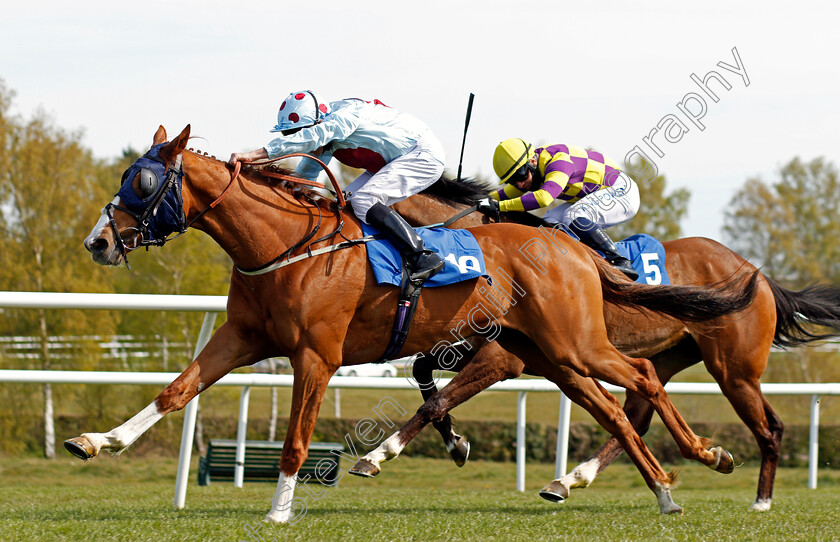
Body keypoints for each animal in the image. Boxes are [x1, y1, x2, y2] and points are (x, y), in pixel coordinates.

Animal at [69, 126, 756, 524]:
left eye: (145, 181)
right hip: (552, 356)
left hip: (577, 343)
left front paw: (280, 512)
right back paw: (658, 488)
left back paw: (706, 458)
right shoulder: (241, 337)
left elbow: (297, 439)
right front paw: (100, 441)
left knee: (642, 376)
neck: (288, 243)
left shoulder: (317, 354)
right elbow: (176, 390)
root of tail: (575, 249)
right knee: (614, 408)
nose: (97, 242)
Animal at [380, 177, 840, 516]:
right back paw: (572, 479)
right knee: (636, 415)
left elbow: (437, 398)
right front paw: (454, 442)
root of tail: (758, 276)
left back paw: (760, 501)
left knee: (769, 427)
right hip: (669, 356)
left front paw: (392, 451)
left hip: (735, 371)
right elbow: (423, 374)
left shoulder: (502, 358)